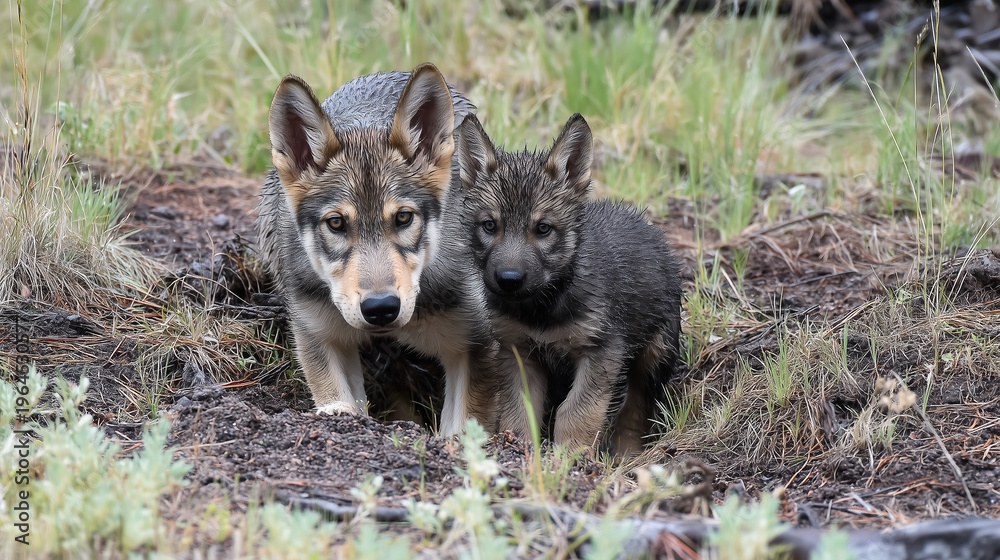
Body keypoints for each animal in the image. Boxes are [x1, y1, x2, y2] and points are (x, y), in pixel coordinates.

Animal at [256, 64, 494, 435]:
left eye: (403, 218)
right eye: (336, 223)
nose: (381, 308)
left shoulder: (473, 344)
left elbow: (459, 429)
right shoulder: (318, 334)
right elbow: (340, 404)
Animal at [456, 113, 682, 455]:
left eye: (543, 229)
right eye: (489, 226)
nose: (508, 280)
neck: (543, 309)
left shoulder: (602, 351)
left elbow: (577, 410)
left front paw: (571, 454)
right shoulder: (518, 350)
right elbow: (519, 410)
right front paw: (518, 446)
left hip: (657, 352)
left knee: (637, 406)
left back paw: (626, 452)